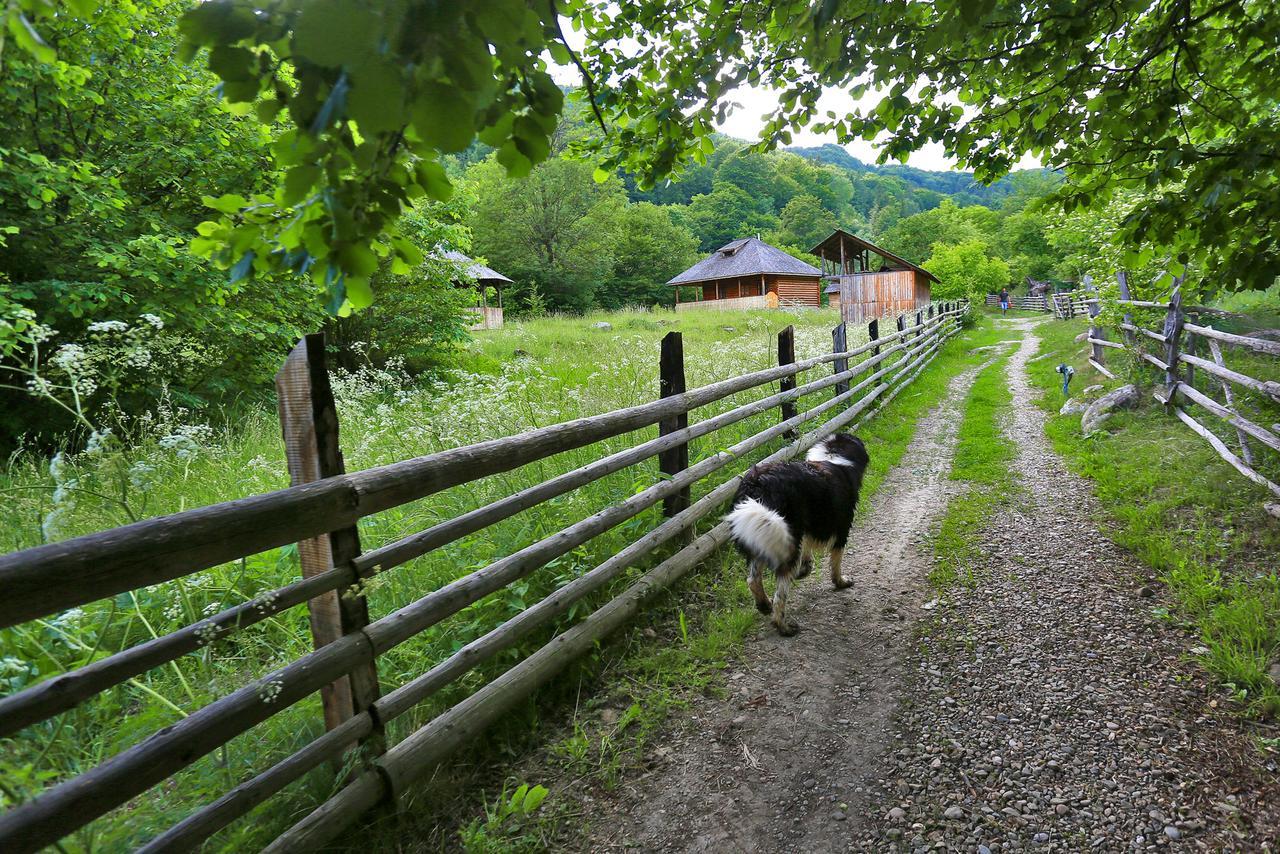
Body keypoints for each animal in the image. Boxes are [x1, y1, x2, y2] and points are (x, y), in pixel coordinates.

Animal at [732, 435, 870, 635]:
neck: (833, 454)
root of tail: (759, 482)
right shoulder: (842, 526)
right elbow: (836, 560)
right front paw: (841, 582)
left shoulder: (807, 528)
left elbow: (807, 552)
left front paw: (804, 570)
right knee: (780, 593)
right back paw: (784, 626)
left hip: (764, 533)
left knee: (753, 579)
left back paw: (764, 605)